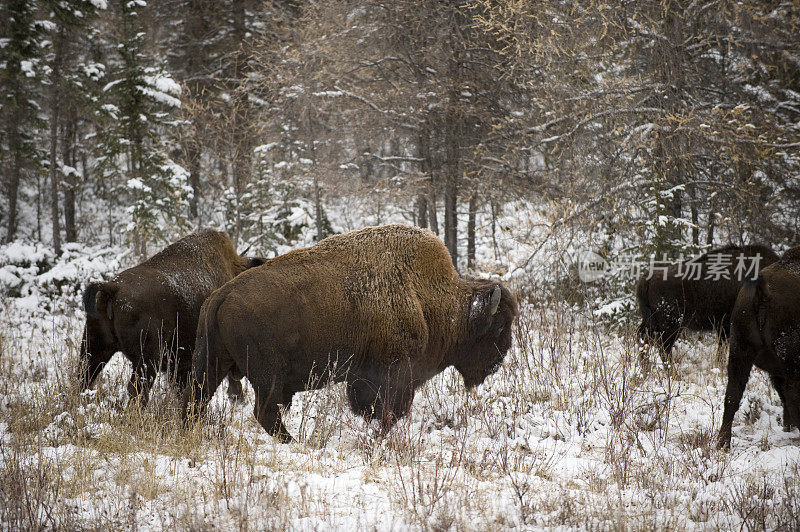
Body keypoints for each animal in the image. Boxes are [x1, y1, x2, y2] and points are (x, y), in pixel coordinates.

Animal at [182, 223, 520, 440]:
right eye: (499, 326)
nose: (497, 363)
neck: (429, 298)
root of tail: (222, 294)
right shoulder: (392, 375)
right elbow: (388, 411)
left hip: (211, 363)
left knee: (195, 399)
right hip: (267, 377)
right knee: (264, 412)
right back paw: (297, 442)